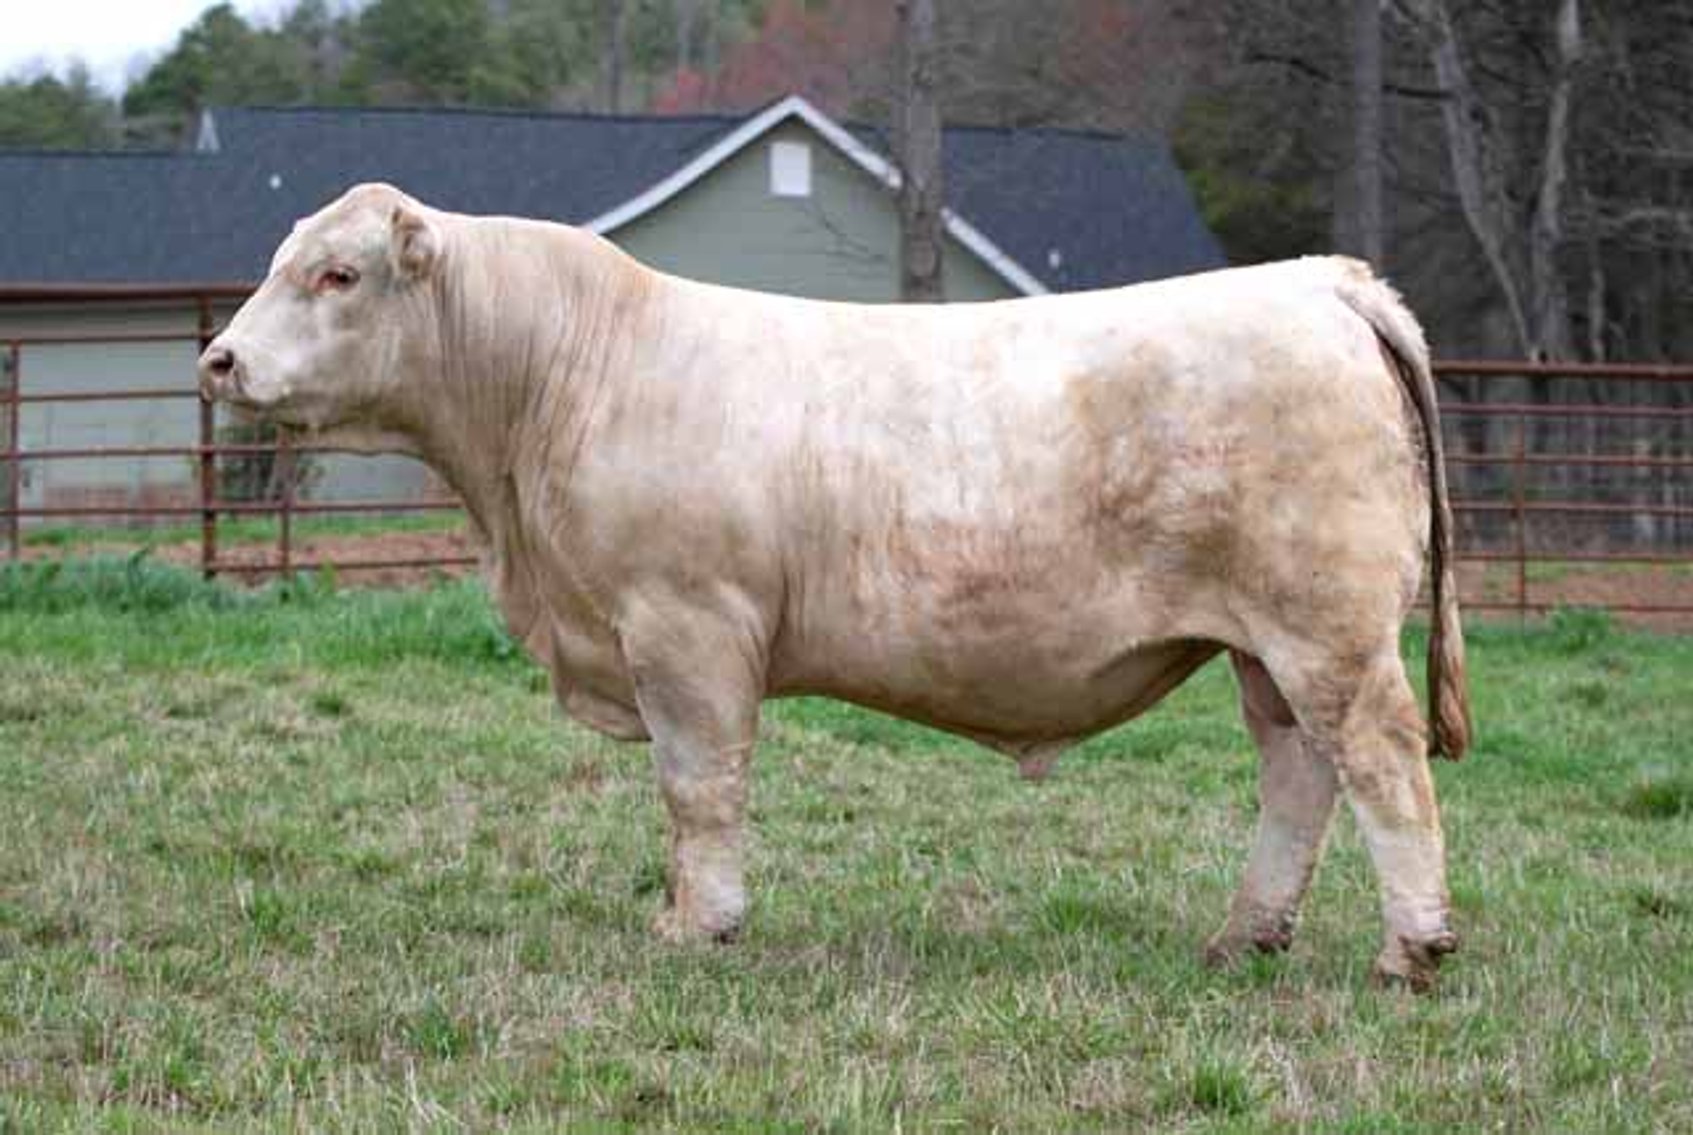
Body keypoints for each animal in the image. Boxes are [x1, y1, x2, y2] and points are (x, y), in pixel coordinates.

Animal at [200, 183, 1471, 990]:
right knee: (1299, 773)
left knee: (1381, 762)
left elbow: (698, 788)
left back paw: (1410, 948)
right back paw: (1244, 937)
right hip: (1269, 647)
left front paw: (697, 925)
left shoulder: (687, 626)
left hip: (1327, 630)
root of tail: (1317, 282)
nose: (219, 358)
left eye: (338, 272)